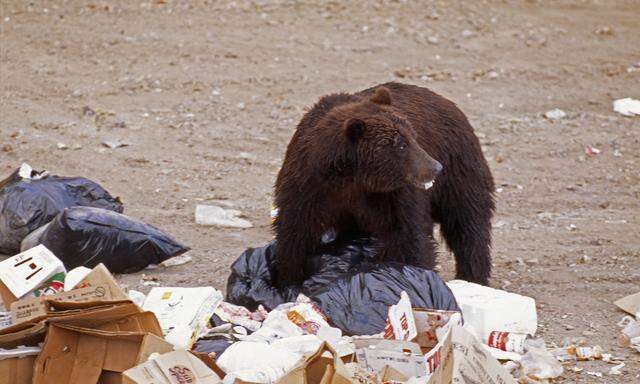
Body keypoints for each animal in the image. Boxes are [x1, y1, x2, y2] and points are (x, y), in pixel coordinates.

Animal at [272, 82, 498, 286]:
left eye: (414, 136)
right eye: (401, 144)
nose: (436, 167)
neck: (351, 180)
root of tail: (447, 102)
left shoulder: (392, 197)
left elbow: (408, 237)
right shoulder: (308, 189)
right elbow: (296, 237)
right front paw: (288, 281)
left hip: (459, 166)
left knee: (467, 220)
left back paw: (473, 278)